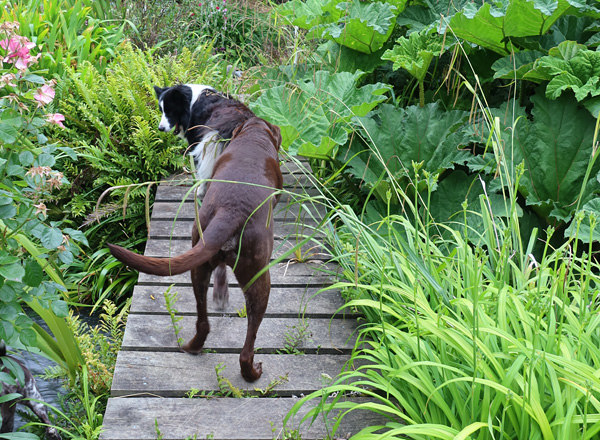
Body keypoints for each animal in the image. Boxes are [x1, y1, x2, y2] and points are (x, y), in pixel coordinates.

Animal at [108, 115, 284, 380]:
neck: (254, 136)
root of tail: (231, 210)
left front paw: (220, 294)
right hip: (259, 278)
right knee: (247, 344)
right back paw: (252, 373)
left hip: (198, 263)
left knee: (203, 322)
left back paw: (192, 346)